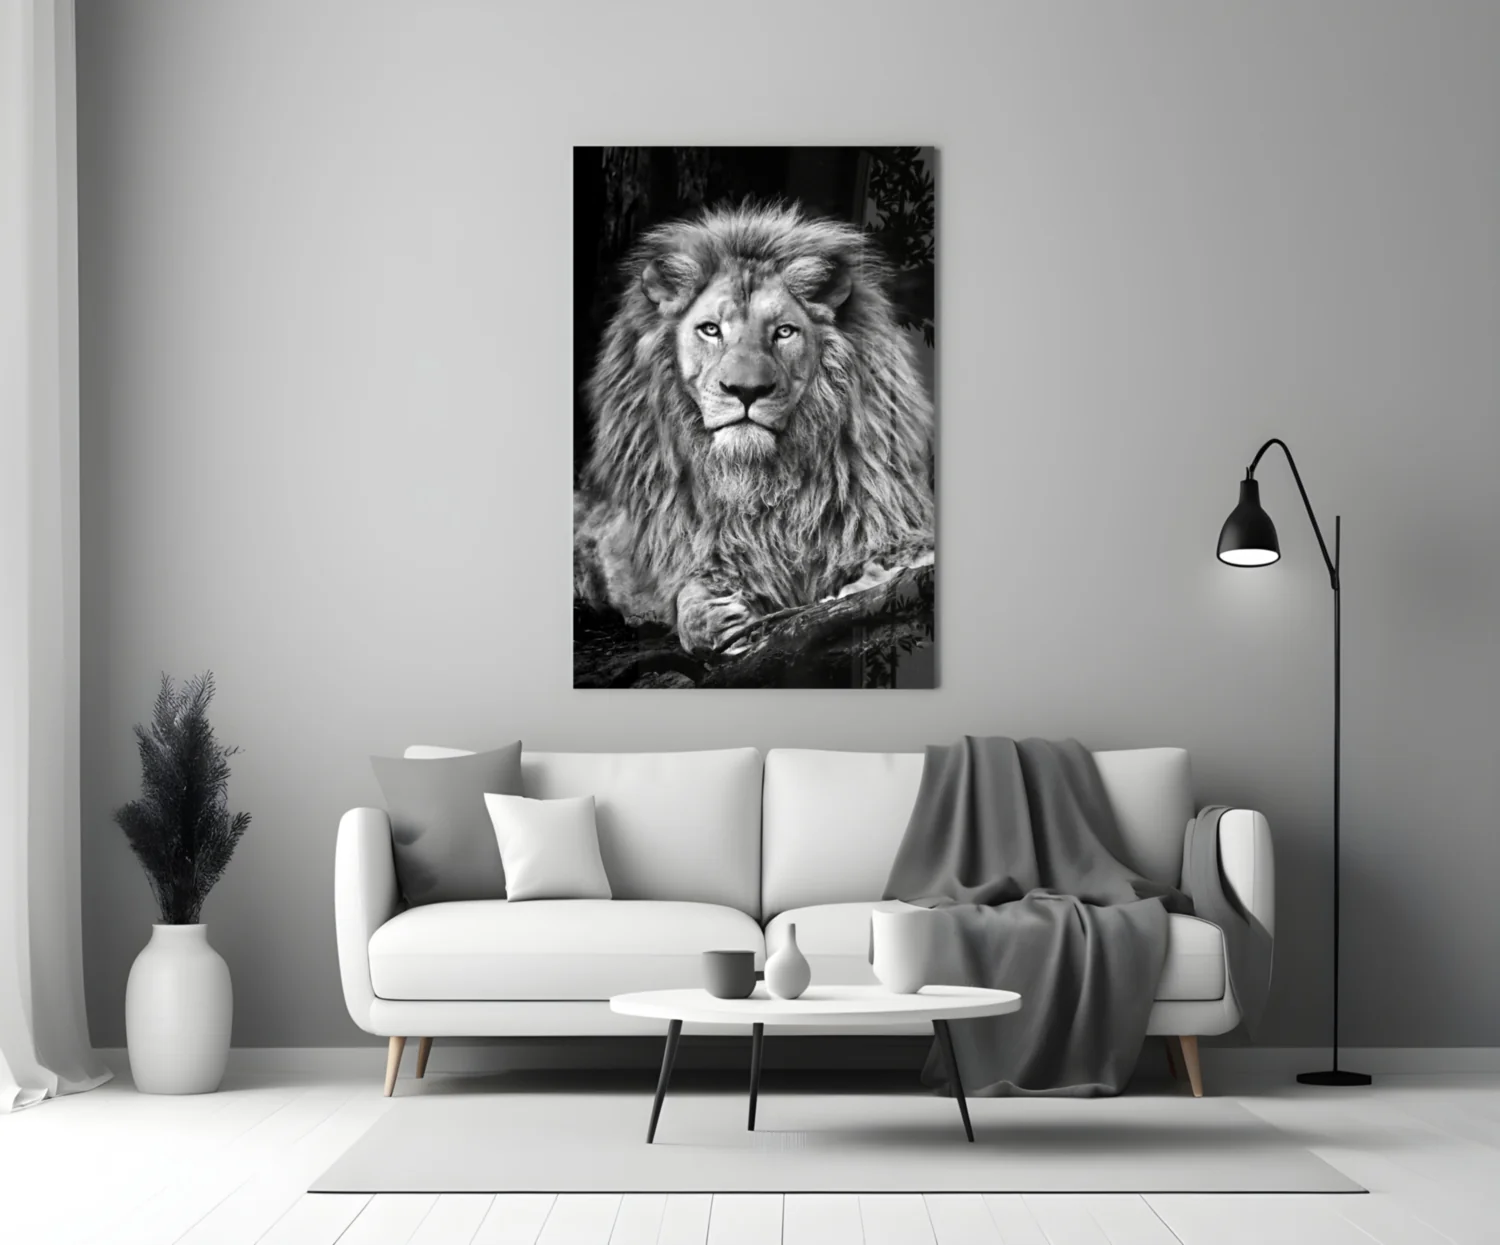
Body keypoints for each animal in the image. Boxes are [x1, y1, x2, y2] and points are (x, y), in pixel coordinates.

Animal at [574, 202, 934, 657]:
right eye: (711, 329)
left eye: (784, 332)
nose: (746, 390)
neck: (760, 484)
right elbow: (689, 598)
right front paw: (717, 619)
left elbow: (903, 562)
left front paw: (862, 583)